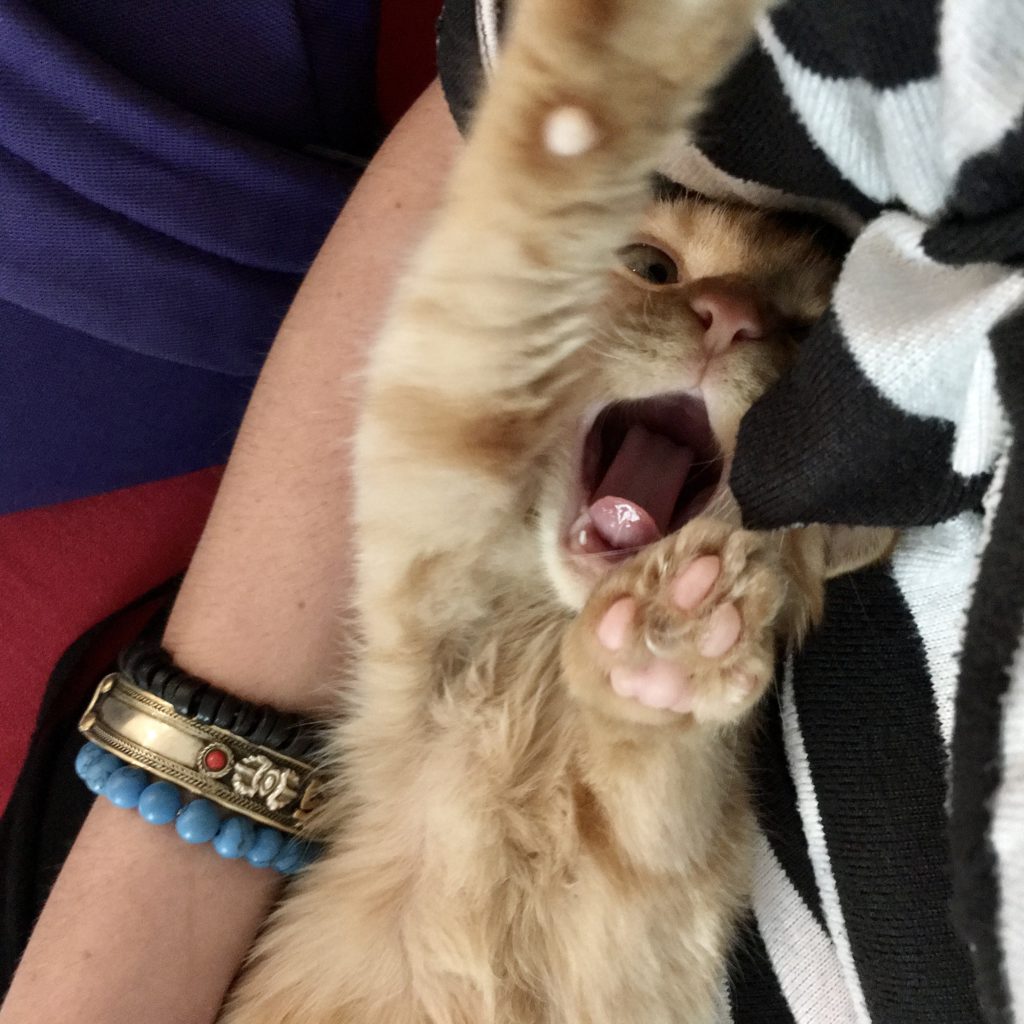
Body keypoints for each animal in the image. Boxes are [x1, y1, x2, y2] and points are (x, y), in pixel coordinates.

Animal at [222, 2, 888, 1024]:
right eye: (653, 266)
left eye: (797, 330)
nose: (729, 319)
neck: (544, 635)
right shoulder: (432, 457)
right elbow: (538, 167)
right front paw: (622, 44)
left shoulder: (664, 882)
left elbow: (658, 792)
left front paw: (673, 641)